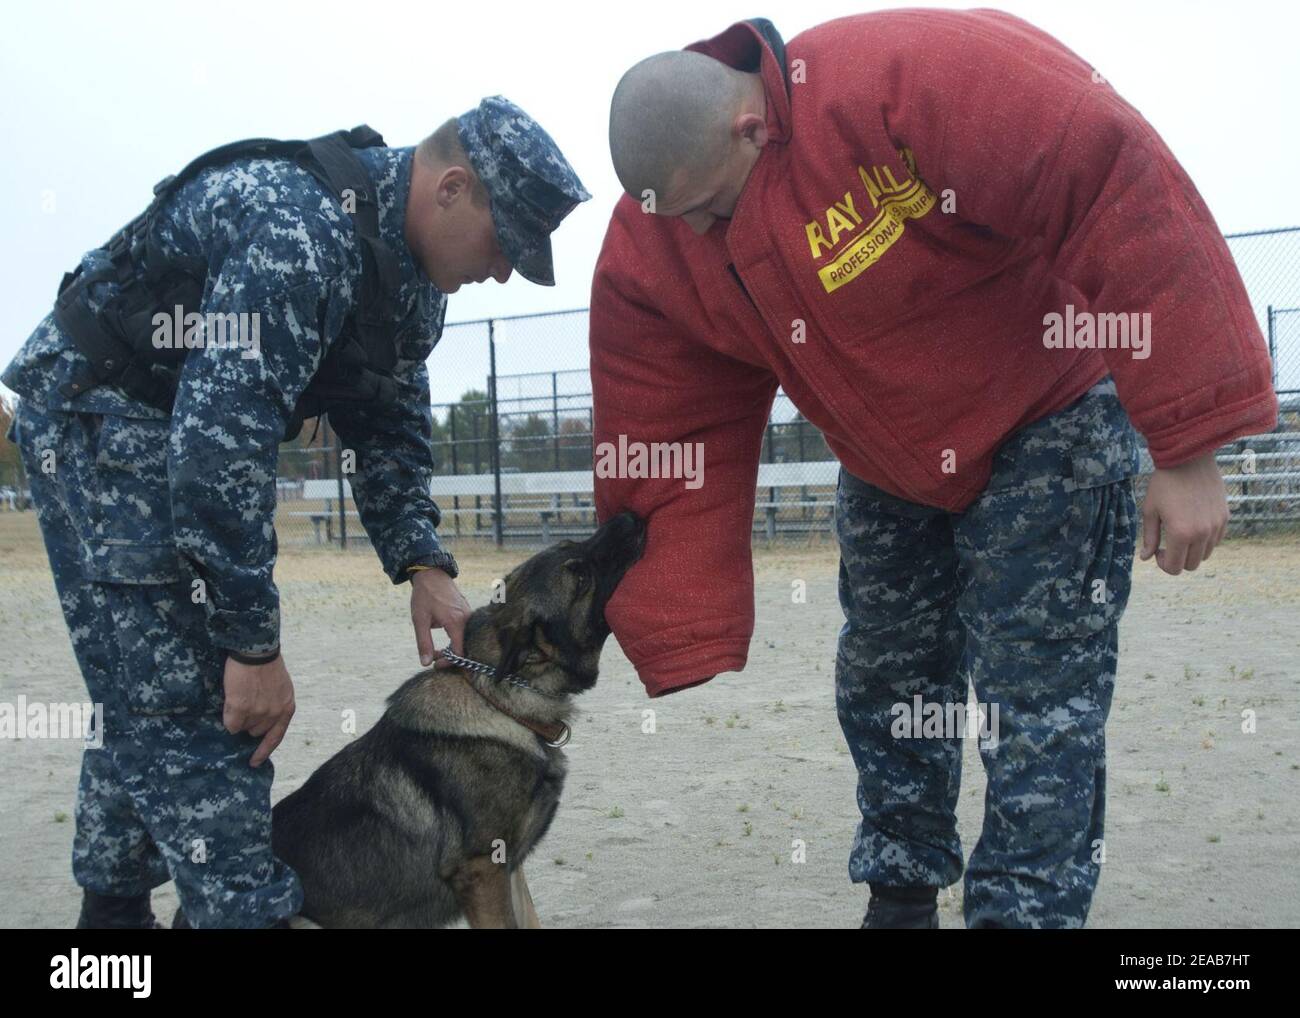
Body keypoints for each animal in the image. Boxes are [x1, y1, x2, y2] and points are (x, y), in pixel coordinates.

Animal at [270, 514, 644, 925]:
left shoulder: (509, 869)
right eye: (579, 575)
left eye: (573, 546)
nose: (628, 517)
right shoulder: (481, 871)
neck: (499, 703)